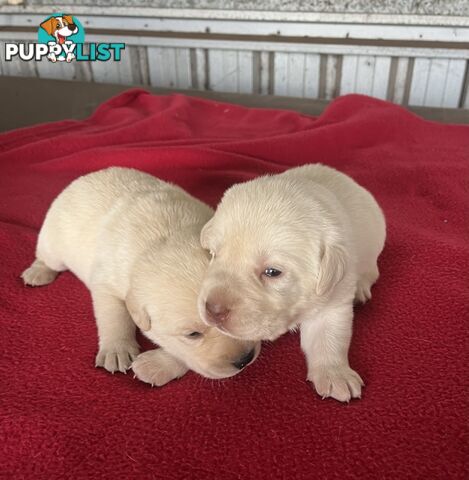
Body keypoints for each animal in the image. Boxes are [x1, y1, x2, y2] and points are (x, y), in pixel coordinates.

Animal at [22, 168, 260, 386]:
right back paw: (38, 272)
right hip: (54, 239)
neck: (166, 237)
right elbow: (114, 315)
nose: (245, 359)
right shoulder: (106, 282)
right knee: (46, 256)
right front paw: (117, 350)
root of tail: (83, 178)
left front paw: (156, 366)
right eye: (192, 334)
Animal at [197, 164, 384, 402]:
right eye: (213, 254)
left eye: (272, 272)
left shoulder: (333, 298)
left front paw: (335, 375)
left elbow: (329, 336)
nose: (213, 310)